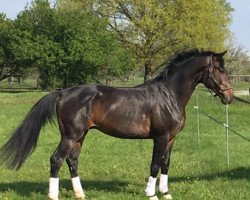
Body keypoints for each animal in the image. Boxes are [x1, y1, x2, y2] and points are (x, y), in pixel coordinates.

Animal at [0, 48, 234, 200]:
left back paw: (81, 194)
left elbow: (166, 164)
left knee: (72, 161)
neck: (169, 94)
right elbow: (155, 165)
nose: (230, 96)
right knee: (56, 159)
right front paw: (151, 194)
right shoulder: (160, 137)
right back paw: (54, 196)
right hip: (70, 136)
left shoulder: (171, 138)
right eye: (221, 70)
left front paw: (166, 193)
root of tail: (63, 92)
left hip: (80, 136)